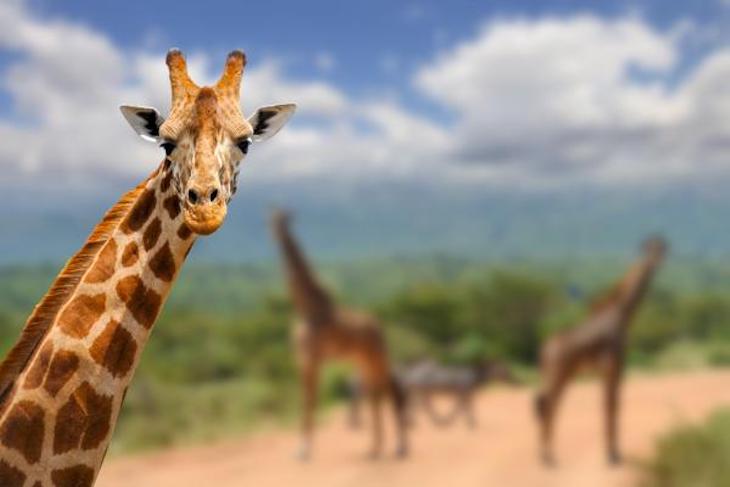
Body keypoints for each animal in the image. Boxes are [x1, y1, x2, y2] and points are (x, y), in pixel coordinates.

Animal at [269, 209, 408, 460]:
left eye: (283, 222)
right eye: (271, 221)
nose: (275, 234)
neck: (306, 308)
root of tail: (379, 326)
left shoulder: (313, 359)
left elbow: (310, 401)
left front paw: (304, 450)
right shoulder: (302, 361)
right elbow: (306, 401)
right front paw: (301, 448)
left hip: (377, 358)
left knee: (392, 392)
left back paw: (399, 448)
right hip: (363, 363)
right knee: (376, 395)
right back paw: (374, 449)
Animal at [534, 236, 667, 466]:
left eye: (661, 248)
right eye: (649, 250)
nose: (655, 263)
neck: (622, 313)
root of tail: (545, 349)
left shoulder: (619, 367)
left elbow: (615, 406)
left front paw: (615, 453)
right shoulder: (612, 365)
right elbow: (610, 406)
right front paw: (612, 456)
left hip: (559, 375)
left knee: (545, 405)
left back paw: (546, 455)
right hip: (558, 375)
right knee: (549, 406)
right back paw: (548, 458)